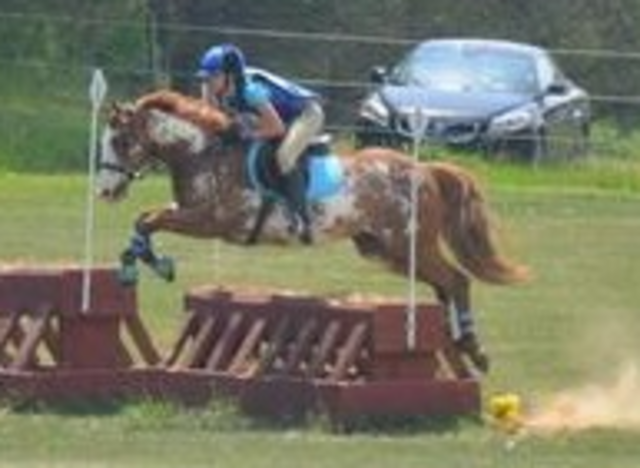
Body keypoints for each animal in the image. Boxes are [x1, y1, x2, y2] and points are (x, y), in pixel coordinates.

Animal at [96, 89, 529, 373]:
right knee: (444, 285)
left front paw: (153, 264)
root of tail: (424, 169)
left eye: (120, 140)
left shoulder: (212, 220)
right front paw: (138, 262)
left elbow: (151, 220)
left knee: (456, 280)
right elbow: (145, 219)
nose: (104, 191)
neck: (204, 153)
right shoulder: (191, 212)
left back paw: (474, 348)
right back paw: (458, 340)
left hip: (408, 243)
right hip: (383, 249)